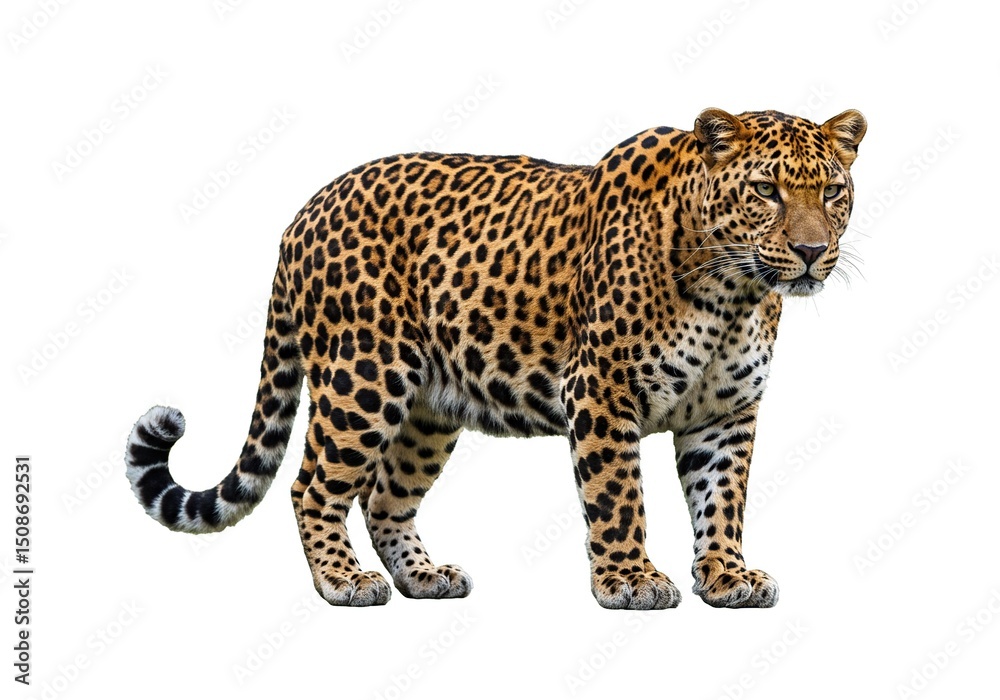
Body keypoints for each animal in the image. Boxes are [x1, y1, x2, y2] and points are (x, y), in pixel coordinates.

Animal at [126, 107, 866, 609]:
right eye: (766, 190)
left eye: (833, 192)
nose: (810, 253)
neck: (734, 291)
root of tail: (301, 215)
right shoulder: (600, 390)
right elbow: (620, 495)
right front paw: (630, 581)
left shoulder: (726, 413)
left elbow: (722, 499)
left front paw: (727, 577)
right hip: (363, 379)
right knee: (315, 486)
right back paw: (343, 580)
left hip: (428, 409)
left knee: (384, 495)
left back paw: (424, 576)